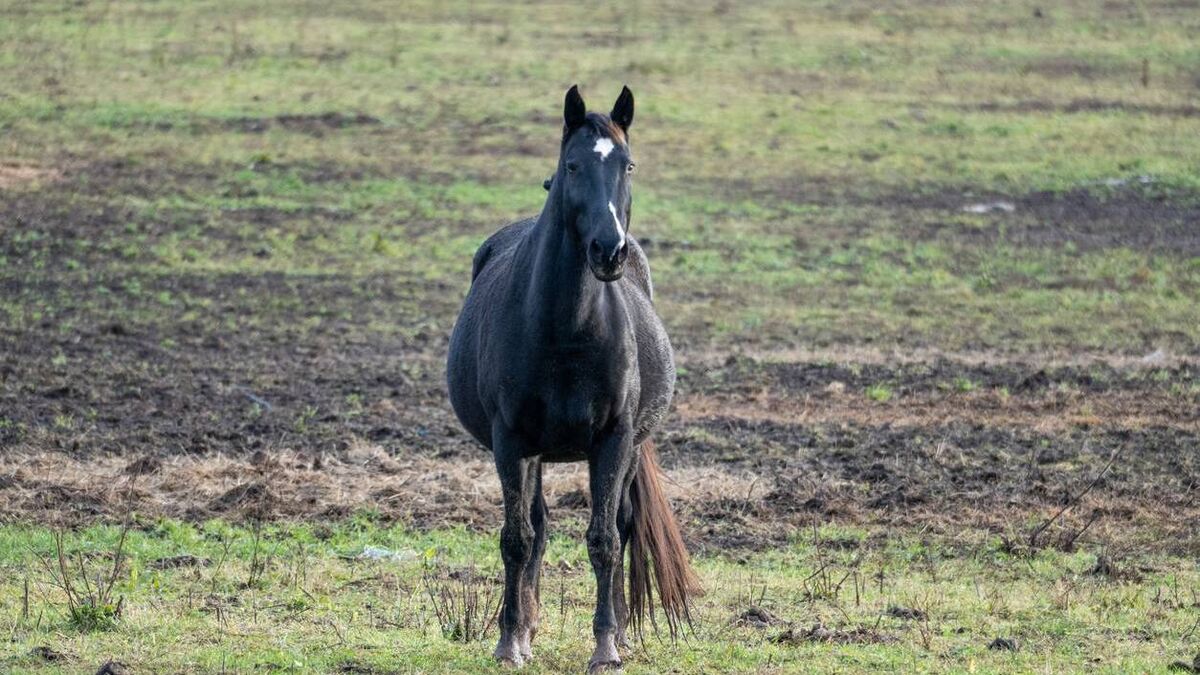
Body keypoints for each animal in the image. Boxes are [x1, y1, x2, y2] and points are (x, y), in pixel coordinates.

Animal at [446, 85, 699, 671]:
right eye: (572, 165)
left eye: (628, 164)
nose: (609, 251)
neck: (568, 329)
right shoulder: (511, 441)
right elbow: (518, 538)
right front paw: (509, 639)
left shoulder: (613, 439)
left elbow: (604, 538)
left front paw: (606, 646)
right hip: (532, 453)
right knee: (536, 529)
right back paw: (526, 629)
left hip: (628, 448)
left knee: (622, 524)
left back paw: (622, 631)